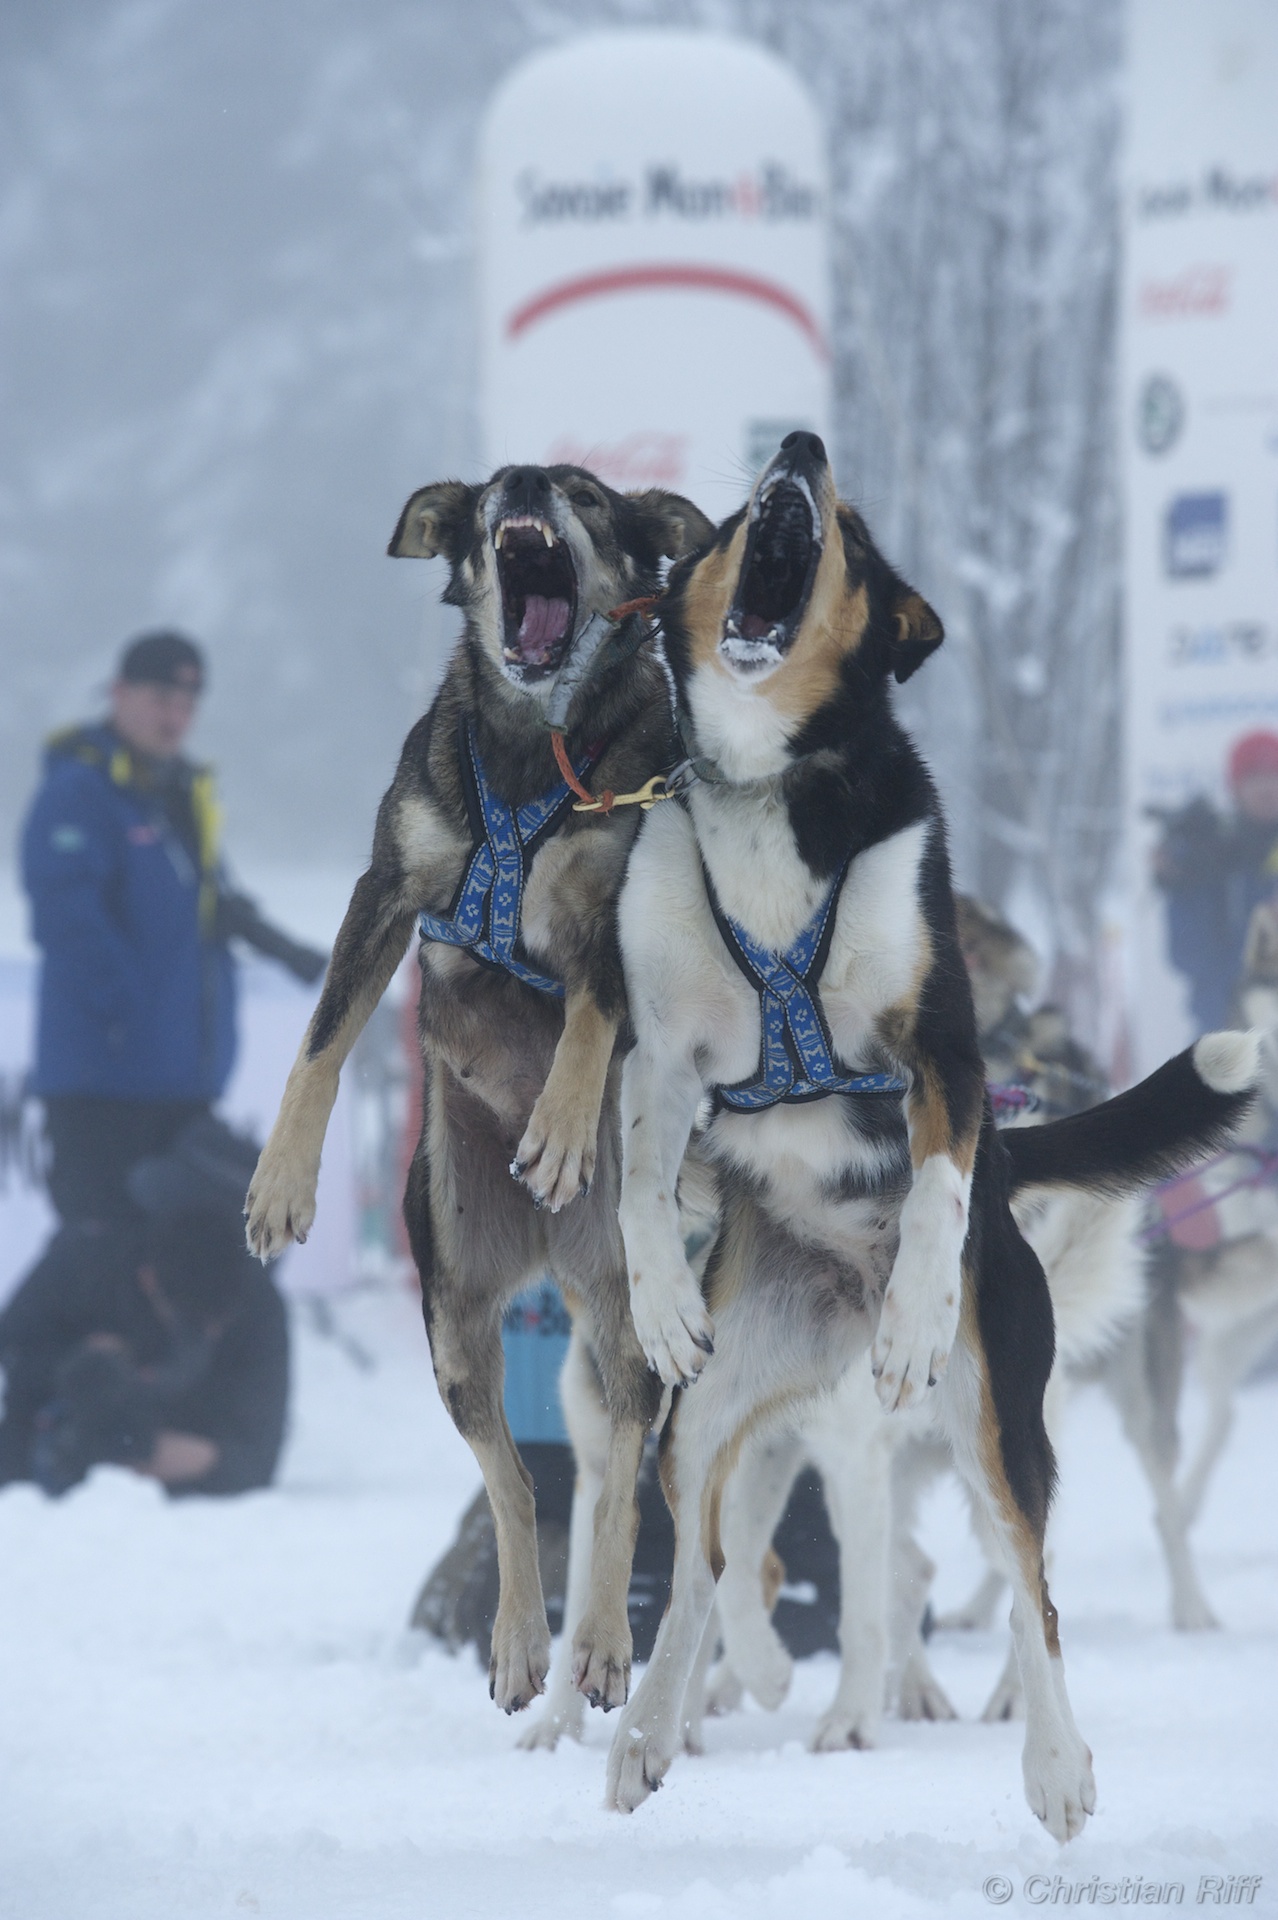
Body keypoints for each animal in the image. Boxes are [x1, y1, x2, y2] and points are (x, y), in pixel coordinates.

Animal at [243, 460, 710, 1712]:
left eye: (590, 497)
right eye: (498, 488)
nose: (531, 483)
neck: (530, 754)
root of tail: (548, 1262)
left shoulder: (620, 913)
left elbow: (590, 1017)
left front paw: (559, 1124)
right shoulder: (390, 885)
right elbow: (320, 1042)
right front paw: (282, 1182)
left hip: (624, 1316)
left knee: (620, 1479)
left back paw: (597, 1643)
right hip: (452, 1314)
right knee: (513, 1482)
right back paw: (517, 1641)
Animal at [598, 435, 1251, 1843]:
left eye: (849, 532)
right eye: (732, 519)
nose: (799, 448)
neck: (768, 784)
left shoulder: (939, 1051)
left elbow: (938, 1178)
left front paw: (911, 1310)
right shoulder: (658, 1054)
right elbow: (634, 1183)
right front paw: (661, 1296)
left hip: (997, 1416)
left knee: (1029, 1583)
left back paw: (1056, 1764)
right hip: (714, 1416)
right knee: (704, 1568)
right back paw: (647, 1728)